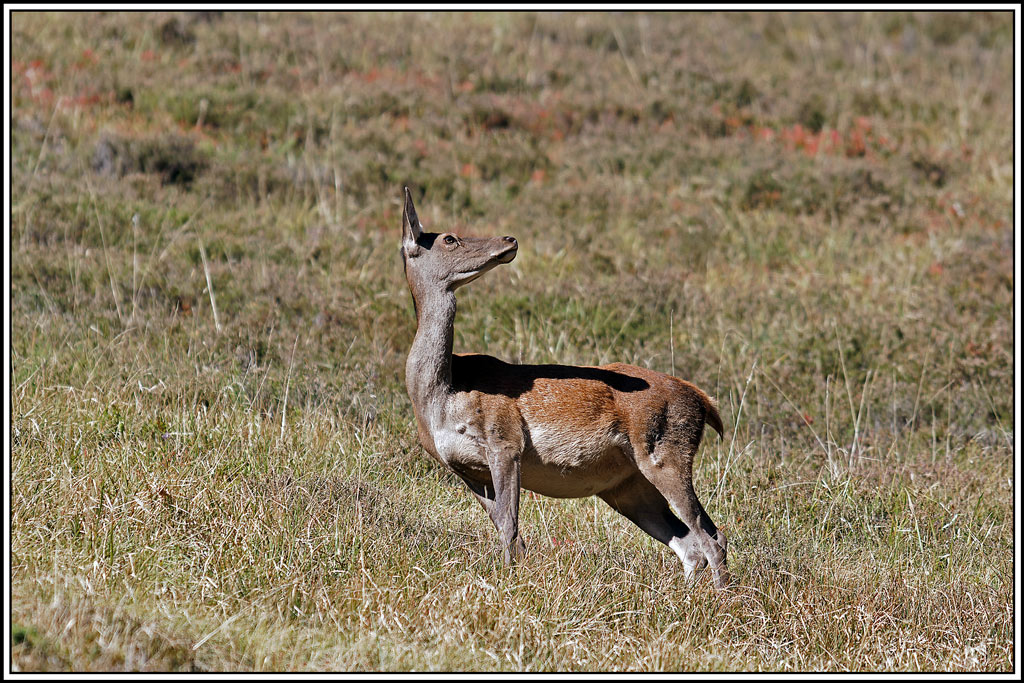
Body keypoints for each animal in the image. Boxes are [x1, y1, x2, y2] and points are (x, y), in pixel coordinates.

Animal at [399, 187, 730, 589]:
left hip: (665, 451)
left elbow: (510, 527)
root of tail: (704, 402)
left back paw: (721, 600)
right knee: (690, 543)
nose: (509, 239)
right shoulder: (465, 469)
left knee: (712, 536)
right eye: (449, 238)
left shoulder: (505, 439)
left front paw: (509, 582)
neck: (442, 395)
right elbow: (506, 529)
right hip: (625, 484)